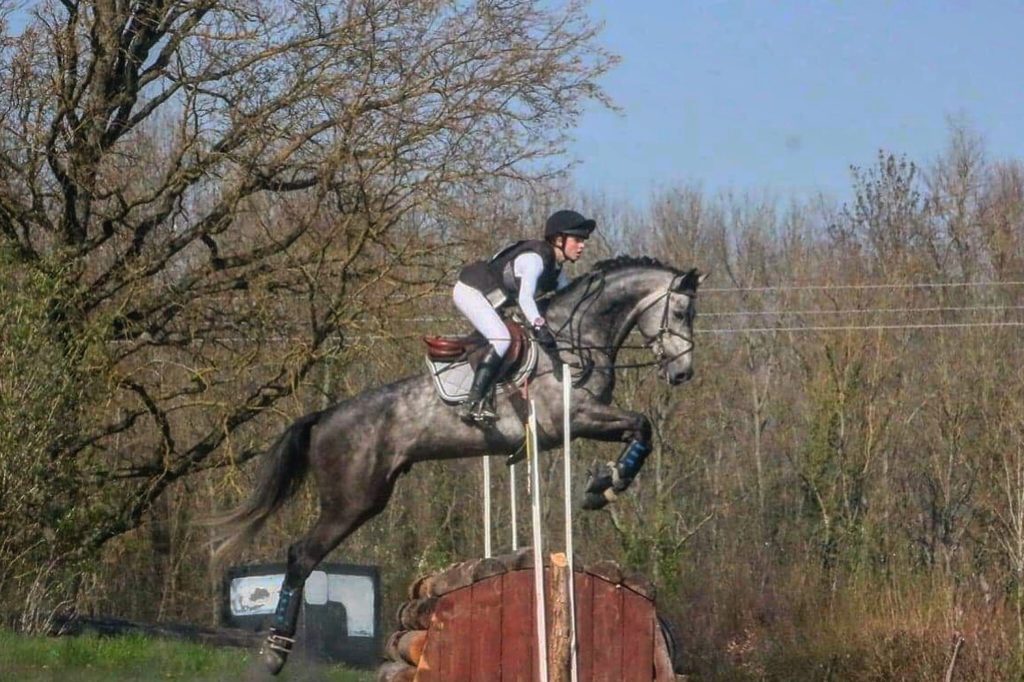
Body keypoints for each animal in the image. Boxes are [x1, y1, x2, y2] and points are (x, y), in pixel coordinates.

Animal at [211, 256, 708, 675]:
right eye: (682, 312)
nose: (683, 373)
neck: (575, 339)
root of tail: (324, 417)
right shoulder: (574, 417)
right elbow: (641, 423)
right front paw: (608, 482)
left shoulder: (585, 422)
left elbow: (639, 430)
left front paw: (603, 483)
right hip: (351, 500)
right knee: (302, 556)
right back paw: (275, 651)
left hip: (367, 497)